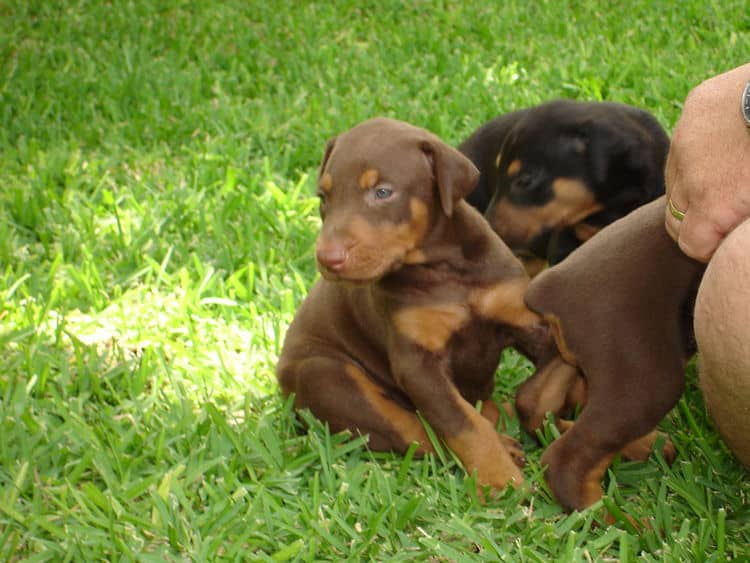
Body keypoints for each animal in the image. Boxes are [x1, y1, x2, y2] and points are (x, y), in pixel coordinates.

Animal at [280, 118, 556, 494]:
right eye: (324, 198)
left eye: (383, 192)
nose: (327, 258)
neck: (443, 266)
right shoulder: (417, 364)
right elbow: (462, 424)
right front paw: (500, 480)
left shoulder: (521, 317)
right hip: (324, 374)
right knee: (412, 432)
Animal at [516, 196, 708, 512]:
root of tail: (549, 285)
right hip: (644, 377)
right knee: (565, 463)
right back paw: (620, 519)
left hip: (570, 354)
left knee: (533, 404)